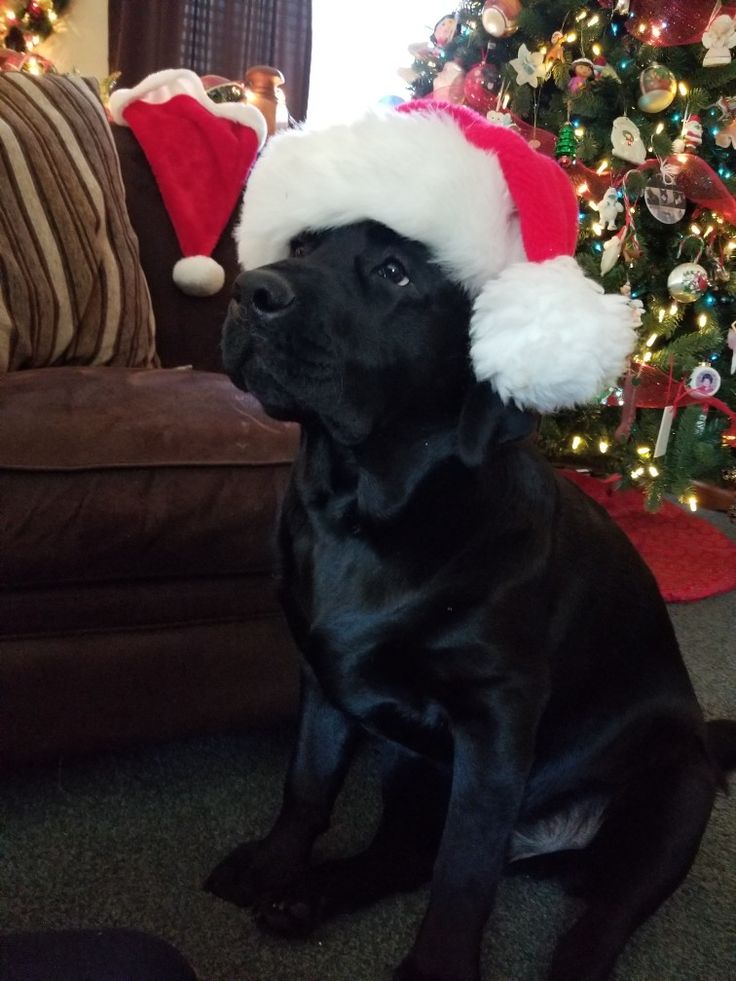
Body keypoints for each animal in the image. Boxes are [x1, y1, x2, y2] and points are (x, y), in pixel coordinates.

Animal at [208, 222, 736, 980]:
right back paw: (304, 897)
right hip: (410, 763)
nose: (252, 292)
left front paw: (437, 967)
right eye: (303, 247)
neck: (360, 511)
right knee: (402, 853)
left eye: (395, 272)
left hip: (675, 797)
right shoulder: (323, 676)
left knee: (600, 921)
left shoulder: (496, 718)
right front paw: (273, 868)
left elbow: (466, 866)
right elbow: (306, 784)